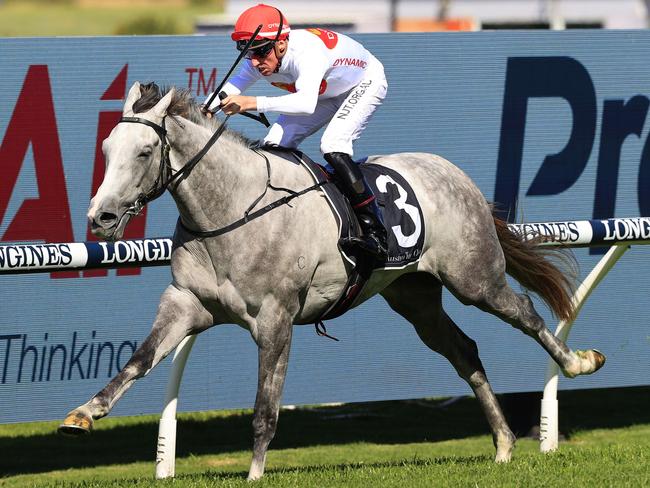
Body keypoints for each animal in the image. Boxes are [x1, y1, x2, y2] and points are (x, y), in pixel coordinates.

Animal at [58, 83, 604, 480]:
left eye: (146, 150)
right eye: (107, 147)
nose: (101, 218)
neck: (231, 210)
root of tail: (452, 171)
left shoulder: (276, 320)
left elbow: (266, 407)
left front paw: (254, 475)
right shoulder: (186, 303)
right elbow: (139, 360)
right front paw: (83, 413)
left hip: (475, 279)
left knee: (527, 315)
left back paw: (578, 363)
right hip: (415, 299)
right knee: (464, 351)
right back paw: (504, 444)